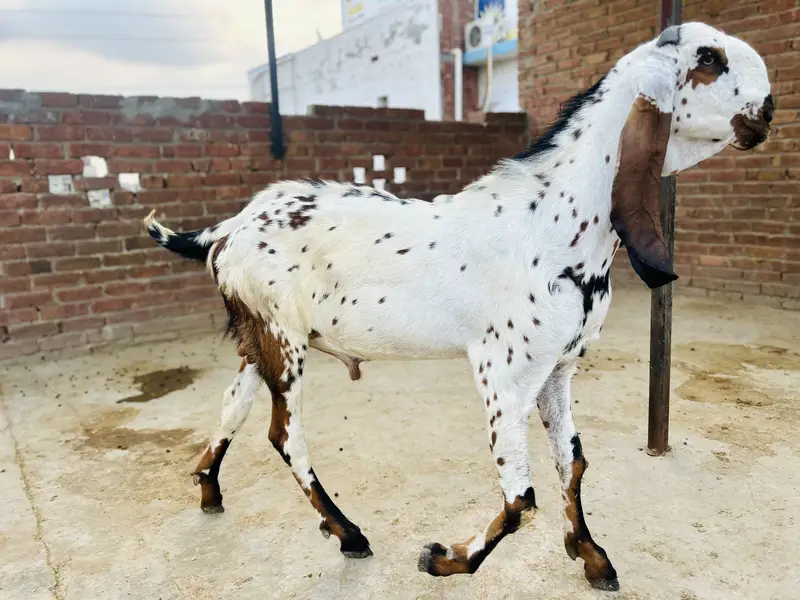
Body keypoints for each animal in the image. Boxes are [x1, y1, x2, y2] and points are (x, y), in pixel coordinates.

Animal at [144, 22, 772, 590]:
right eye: (709, 59)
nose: (767, 110)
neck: (552, 220)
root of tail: (229, 227)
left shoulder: (558, 369)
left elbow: (572, 464)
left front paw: (591, 556)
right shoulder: (504, 370)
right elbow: (521, 497)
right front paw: (447, 560)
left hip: (258, 340)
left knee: (234, 406)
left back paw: (209, 489)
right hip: (284, 340)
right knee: (286, 436)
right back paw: (348, 534)